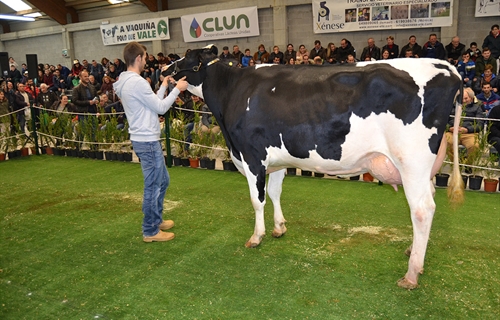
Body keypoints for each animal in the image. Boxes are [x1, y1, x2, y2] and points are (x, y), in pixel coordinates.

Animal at [165, 45, 464, 290]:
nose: (165, 70)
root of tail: (445, 67)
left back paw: (411, 273)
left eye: (186, 57)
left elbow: (257, 199)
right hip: (424, 167)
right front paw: (279, 227)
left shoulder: (252, 157)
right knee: (427, 203)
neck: (232, 92)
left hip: (411, 161)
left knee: (422, 210)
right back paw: (412, 251)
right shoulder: (276, 159)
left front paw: (257, 236)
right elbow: (275, 193)